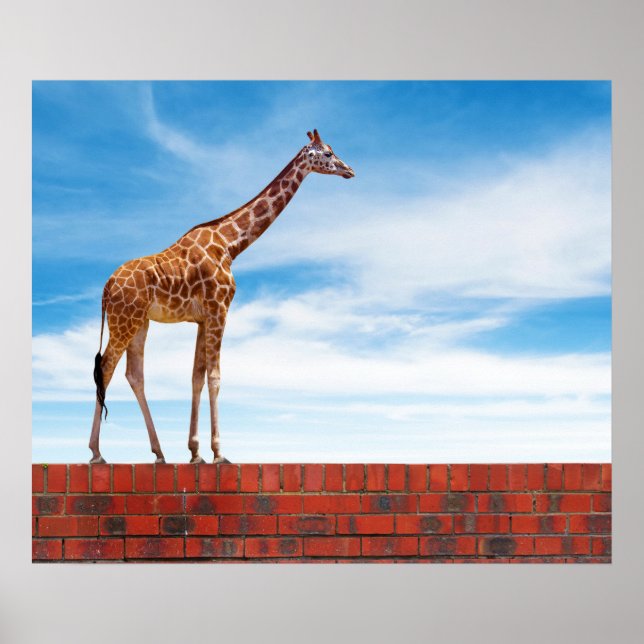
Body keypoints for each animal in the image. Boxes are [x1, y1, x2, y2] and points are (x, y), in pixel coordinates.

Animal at [88, 129, 354, 464]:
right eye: (329, 153)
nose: (350, 170)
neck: (231, 244)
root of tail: (105, 288)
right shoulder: (220, 309)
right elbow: (214, 376)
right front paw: (218, 453)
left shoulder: (203, 318)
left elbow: (196, 376)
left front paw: (195, 452)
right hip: (124, 320)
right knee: (105, 368)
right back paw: (96, 452)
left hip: (139, 322)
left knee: (133, 374)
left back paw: (159, 452)